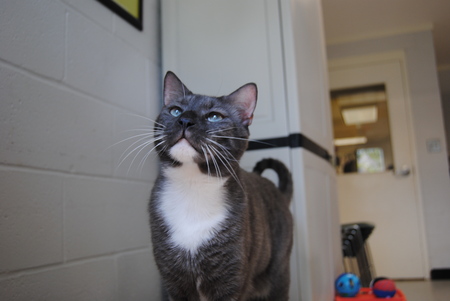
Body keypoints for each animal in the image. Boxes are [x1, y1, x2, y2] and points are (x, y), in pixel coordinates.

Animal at [149, 71, 294, 298]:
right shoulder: (174, 281)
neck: (193, 186)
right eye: (175, 110)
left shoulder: (230, 280)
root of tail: (280, 194)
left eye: (214, 116)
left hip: (278, 273)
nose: (184, 120)